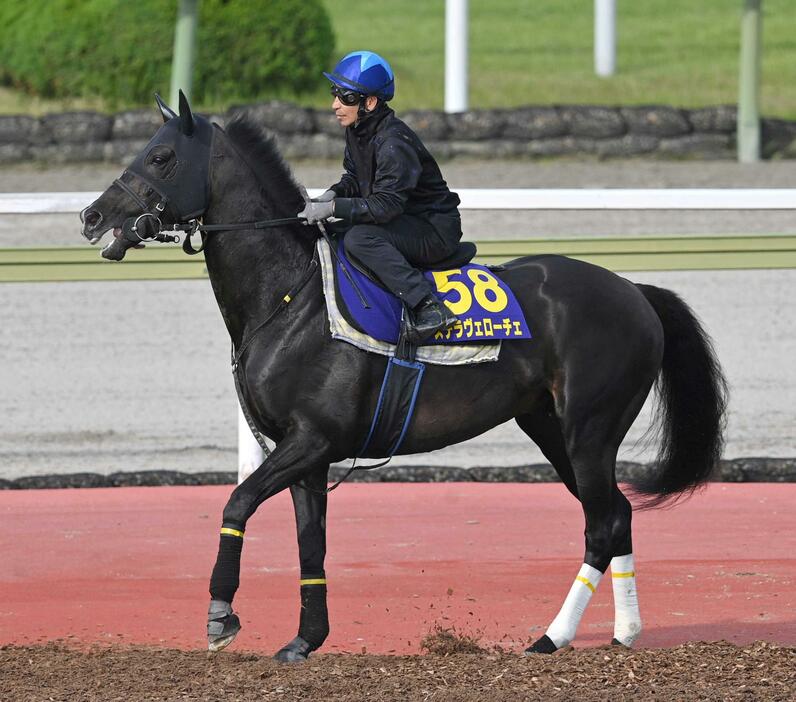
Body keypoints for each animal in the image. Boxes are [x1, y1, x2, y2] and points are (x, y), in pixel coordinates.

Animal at [81, 95, 728, 664]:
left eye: (161, 156)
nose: (92, 215)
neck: (289, 297)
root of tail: (635, 292)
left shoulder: (310, 439)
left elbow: (237, 502)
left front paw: (221, 615)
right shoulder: (306, 455)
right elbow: (310, 544)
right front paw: (305, 639)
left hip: (589, 430)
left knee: (603, 523)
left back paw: (552, 637)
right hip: (552, 429)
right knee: (616, 516)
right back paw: (623, 631)